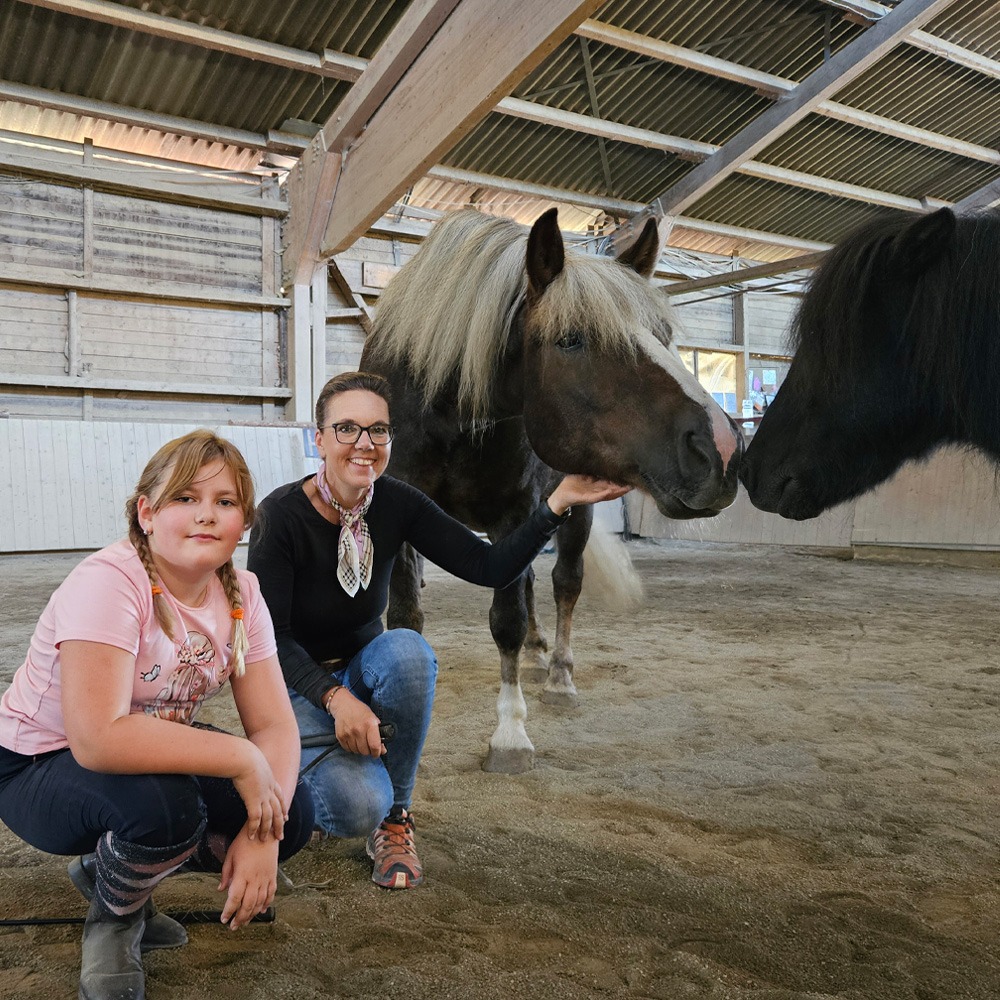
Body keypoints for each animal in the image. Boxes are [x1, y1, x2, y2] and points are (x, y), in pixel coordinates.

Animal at [364, 209, 740, 772]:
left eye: (663, 333)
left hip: (572, 514)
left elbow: (508, 620)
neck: (449, 407)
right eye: (571, 339)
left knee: (564, 584)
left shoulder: (514, 514)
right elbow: (408, 617)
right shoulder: (409, 509)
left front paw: (509, 735)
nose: (720, 451)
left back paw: (558, 673)